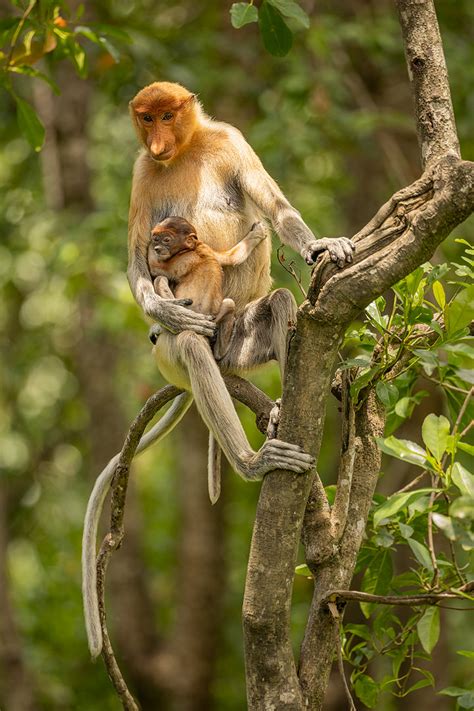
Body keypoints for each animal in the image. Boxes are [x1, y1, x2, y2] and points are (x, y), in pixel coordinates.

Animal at [147, 217, 264, 362]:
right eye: (156, 239)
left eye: (166, 240)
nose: (157, 248)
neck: (195, 248)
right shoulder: (207, 249)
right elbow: (232, 258)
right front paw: (257, 234)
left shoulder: (182, 259)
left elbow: (155, 267)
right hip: (214, 319)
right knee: (229, 303)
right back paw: (220, 351)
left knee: (160, 279)